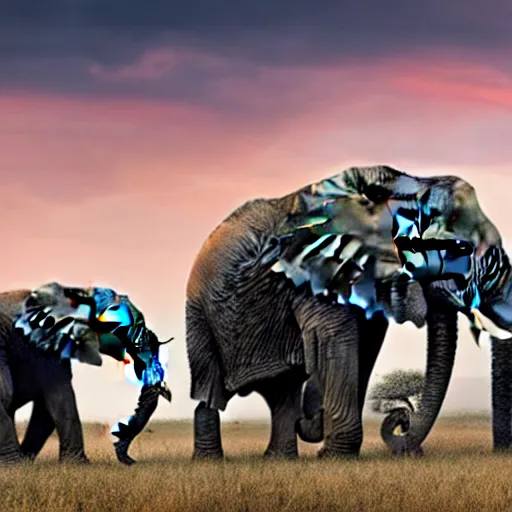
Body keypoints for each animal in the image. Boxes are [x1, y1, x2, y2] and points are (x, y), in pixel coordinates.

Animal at [0, 282, 173, 466]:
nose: (131, 460)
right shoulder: (46, 341)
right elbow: (60, 395)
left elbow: (47, 406)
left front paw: (27, 461)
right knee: (7, 393)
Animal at [186, 165, 506, 460]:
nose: (403, 427)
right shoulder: (315, 266)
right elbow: (338, 337)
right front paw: (335, 455)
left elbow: (365, 344)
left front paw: (331, 447)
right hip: (198, 312)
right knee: (209, 392)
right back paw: (210, 461)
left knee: (283, 389)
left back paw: (278, 458)